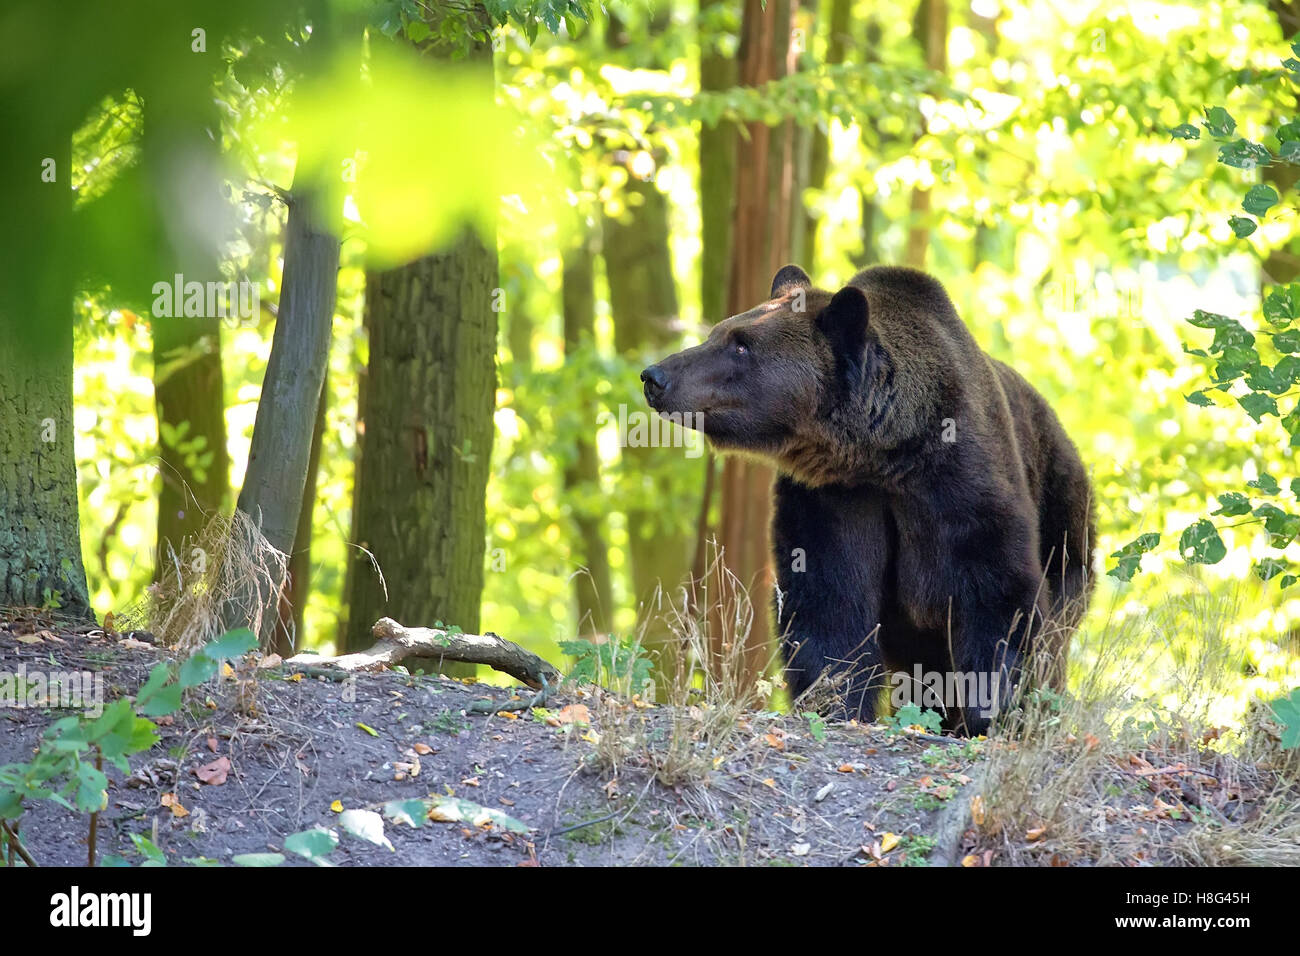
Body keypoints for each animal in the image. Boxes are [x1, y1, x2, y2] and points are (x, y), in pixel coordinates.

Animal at [641, 264, 1095, 734]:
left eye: (741, 344)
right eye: (719, 332)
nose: (655, 376)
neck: (884, 454)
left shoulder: (959, 483)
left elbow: (995, 590)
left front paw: (996, 711)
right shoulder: (833, 498)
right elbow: (829, 600)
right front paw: (837, 701)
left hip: (1065, 524)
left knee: (1057, 624)